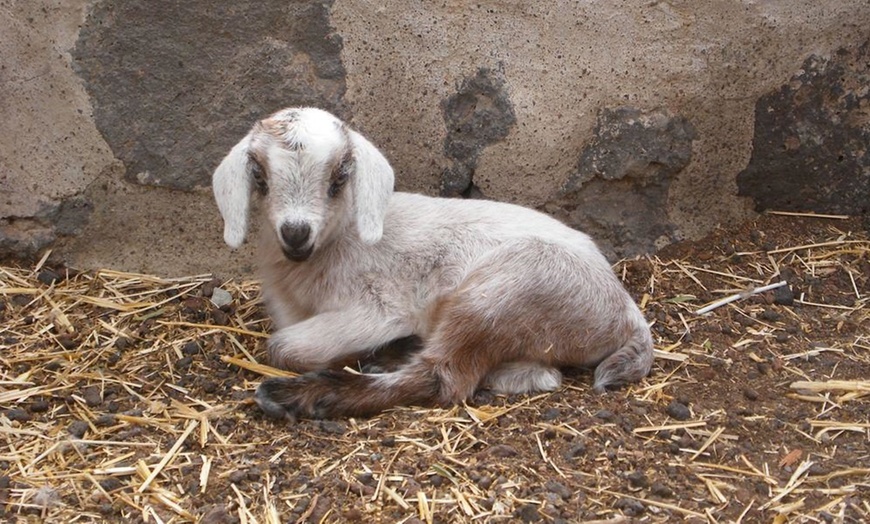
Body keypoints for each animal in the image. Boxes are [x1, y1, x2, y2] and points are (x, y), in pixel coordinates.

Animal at [213, 107, 656, 422]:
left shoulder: (376, 307)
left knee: (442, 377)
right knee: (534, 374)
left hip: (505, 292)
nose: (296, 233)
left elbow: (282, 347)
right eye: (260, 177)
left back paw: (302, 394)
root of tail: (627, 315)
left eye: (339, 179)